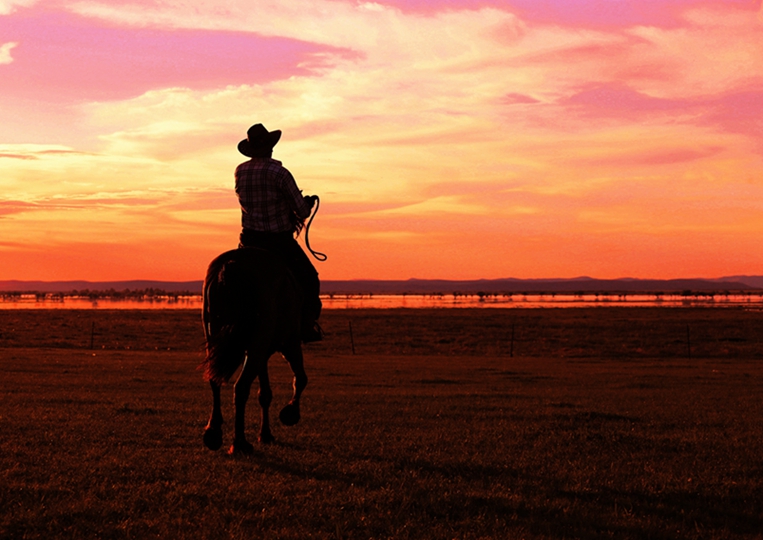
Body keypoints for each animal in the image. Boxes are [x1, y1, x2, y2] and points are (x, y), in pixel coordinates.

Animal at [198, 247, 308, 454]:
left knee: (215, 381)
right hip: (261, 345)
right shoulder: (289, 343)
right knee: (241, 387)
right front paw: (290, 413)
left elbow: (264, 394)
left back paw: (213, 433)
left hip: (214, 338)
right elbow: (300, 379)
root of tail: (230, 266)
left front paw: (265, 434)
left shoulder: (261, 354)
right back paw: (239, 443)